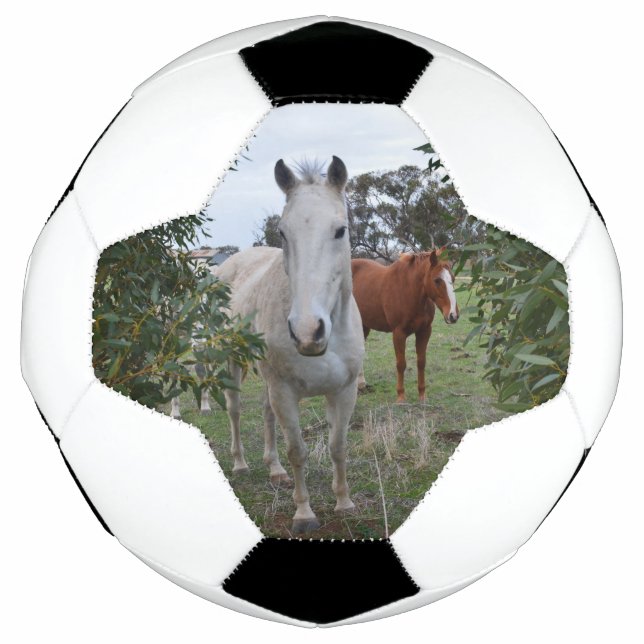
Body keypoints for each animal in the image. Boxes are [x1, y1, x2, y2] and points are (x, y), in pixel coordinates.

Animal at [212, 156, 364, 534]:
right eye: (283, 232)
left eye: (340, 230)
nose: (308, 331)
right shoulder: (285, 391)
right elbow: (298, 451)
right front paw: (304, 513)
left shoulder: (344, 391)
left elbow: (338, 446)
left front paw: (344, 503)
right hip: (235, 363)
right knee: (235, 409)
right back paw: (240, 463)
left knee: (267, 413)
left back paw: (275, 469)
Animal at [351, 250, 459, 403]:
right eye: (437, 280)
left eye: (453, 278)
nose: (453, 315)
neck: (409, 291)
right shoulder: (399, 333)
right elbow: (401, 364)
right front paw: (401, 396)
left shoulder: (424, 331)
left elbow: (421, 362)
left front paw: (422, 395)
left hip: (364, 324)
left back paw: (360, 385)